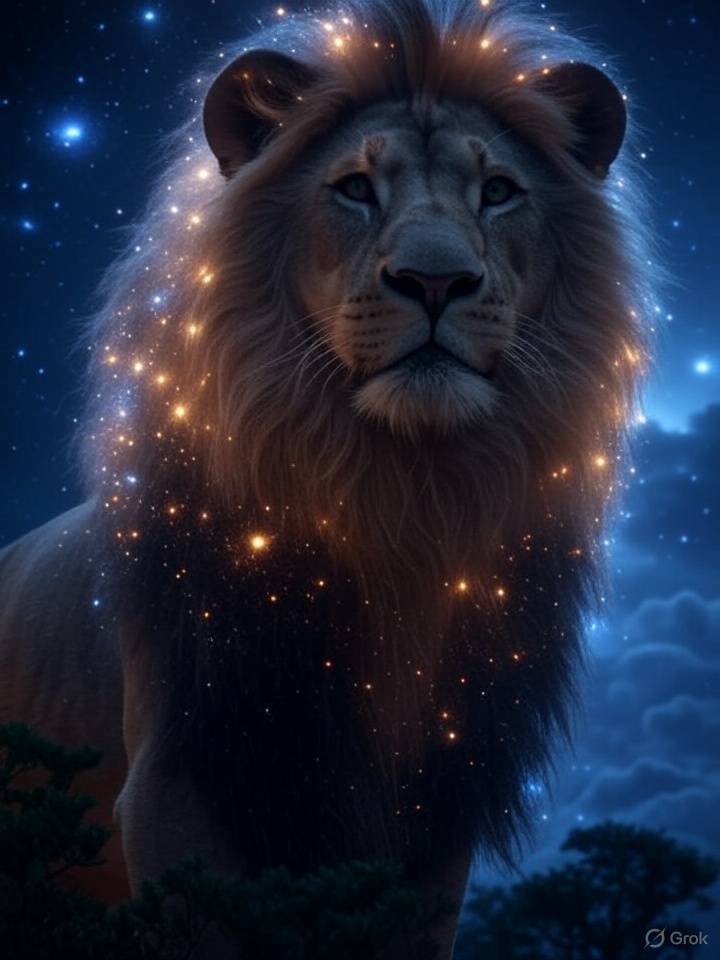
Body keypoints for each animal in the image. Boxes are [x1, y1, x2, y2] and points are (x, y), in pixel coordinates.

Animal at [0, 0, 654, 955]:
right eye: (354, 188)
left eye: (498, 191)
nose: (434, 280)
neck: (399, 499)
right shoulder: (180, 788)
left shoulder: (429, 822)